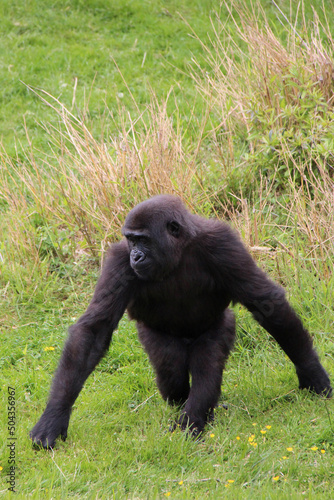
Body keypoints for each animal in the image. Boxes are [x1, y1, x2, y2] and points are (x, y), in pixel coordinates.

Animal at [29, 193, 332, 448]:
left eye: (143, 240)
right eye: (131, 240)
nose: (136, 255)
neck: (179, 248)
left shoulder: (223, 243)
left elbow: (265, 303)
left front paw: (311, 372)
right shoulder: (119, 260)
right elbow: (95, 329)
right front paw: (54, 416)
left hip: (219, 324)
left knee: (206, 364)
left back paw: (193, 419)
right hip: (153, 336)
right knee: (171, 372)